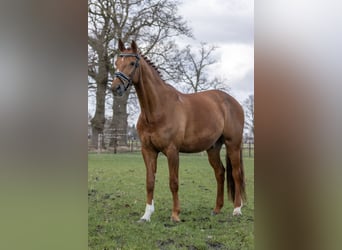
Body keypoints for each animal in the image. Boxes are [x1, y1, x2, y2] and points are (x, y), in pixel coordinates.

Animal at [113, 39, 246, 223]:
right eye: (116, 63)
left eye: (132, 63)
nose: (116, 88)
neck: (157, 109)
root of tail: (233, 102)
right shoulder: (148, 150)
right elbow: (150, 182)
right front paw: (146, 215)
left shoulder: (172, 151)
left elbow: (173, 182)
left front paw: (175, 215)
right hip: (213, 148)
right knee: (220, 173)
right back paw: (217, 209)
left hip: (233, 145)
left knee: (236, 174)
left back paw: (237, 209)